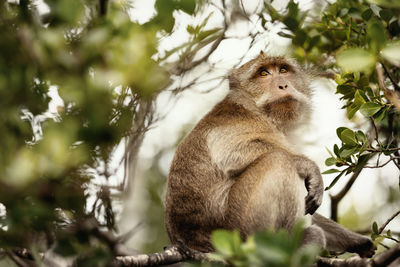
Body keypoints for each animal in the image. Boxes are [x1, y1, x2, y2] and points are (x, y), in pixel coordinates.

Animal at [163, 51, 376, 258]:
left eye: (283, 70)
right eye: (263, 73)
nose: (283, 84)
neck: (260, 110)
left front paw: (357, 241)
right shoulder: (243, 122)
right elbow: (232, 153)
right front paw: (311, 168)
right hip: (237, 226)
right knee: (278, 161)